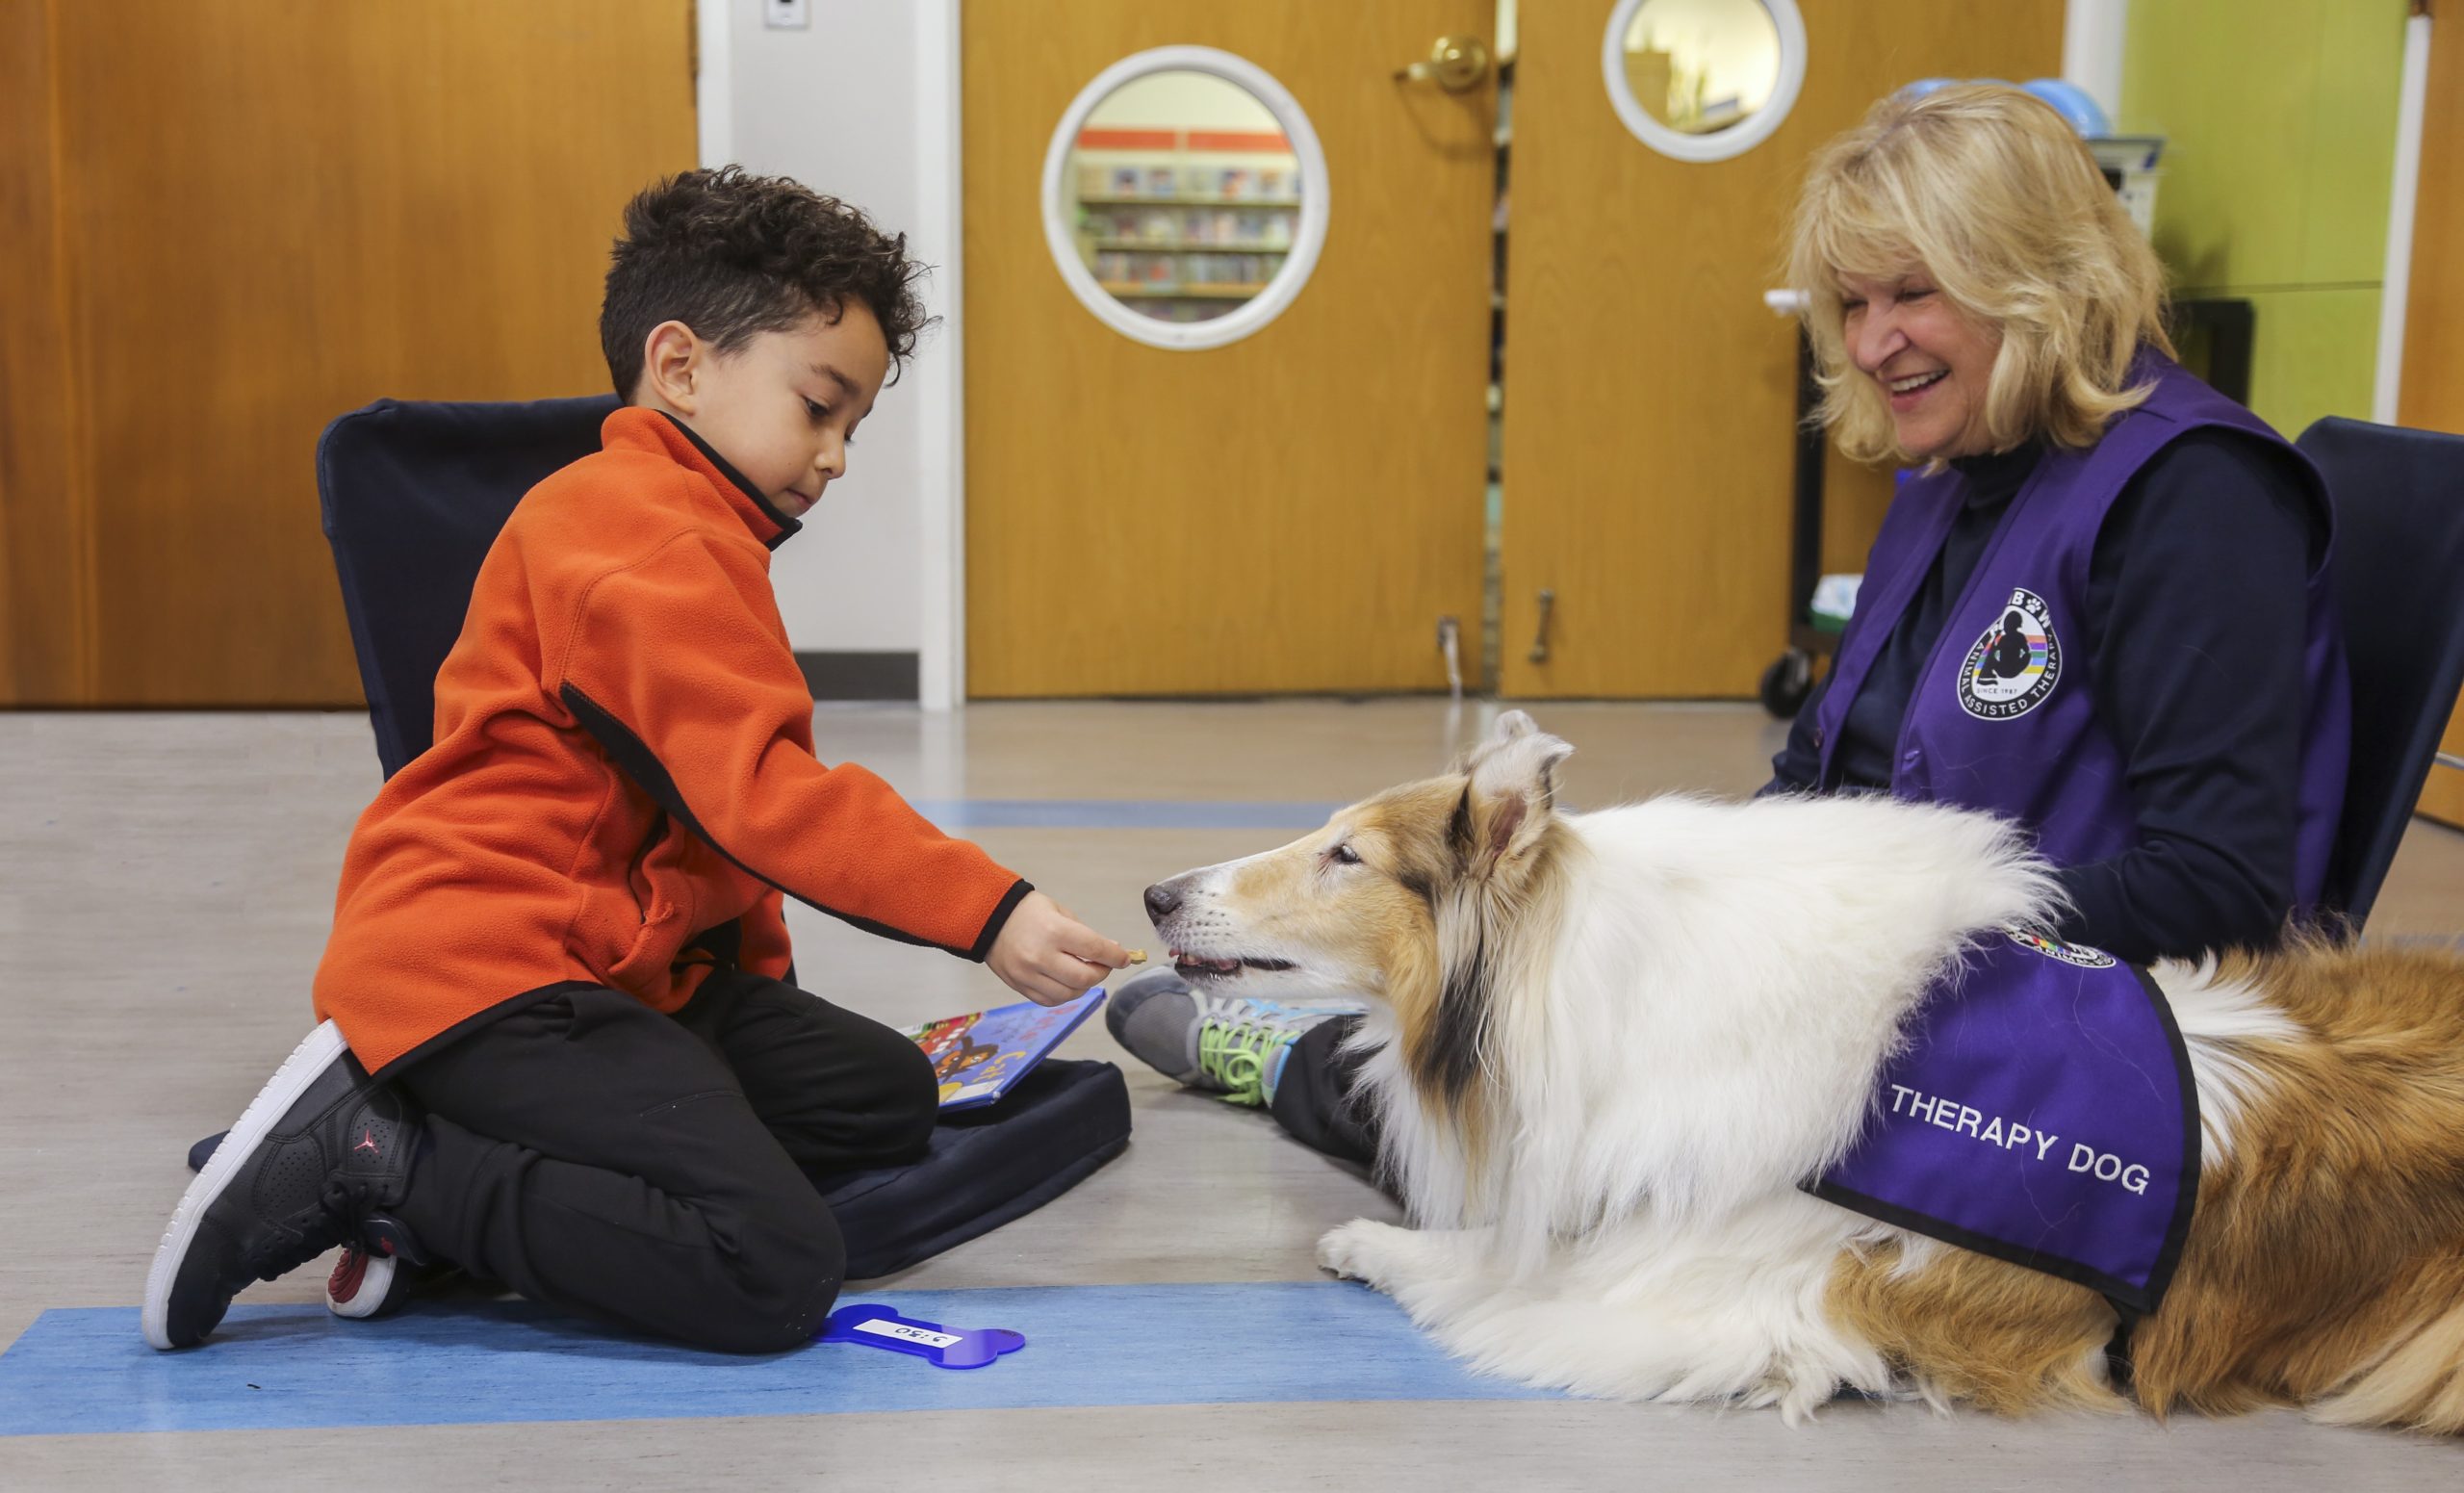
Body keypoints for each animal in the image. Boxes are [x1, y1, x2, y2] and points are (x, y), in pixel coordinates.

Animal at [1147, 719, 2464, 1429]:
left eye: (1348, 856)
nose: (1156, 893)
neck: (1580, 975)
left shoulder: (1714, 1300)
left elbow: (1492, 1269)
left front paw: (1369, 1244)